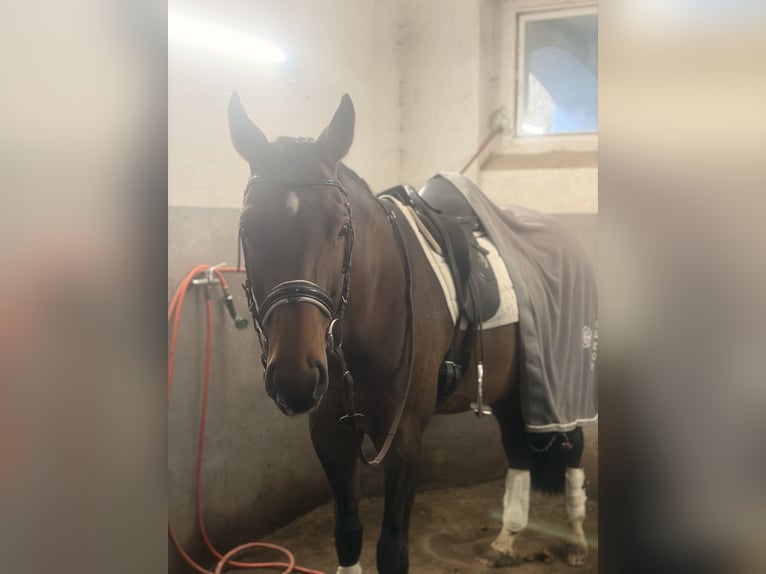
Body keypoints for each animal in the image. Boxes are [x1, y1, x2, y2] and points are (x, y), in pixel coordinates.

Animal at [228, 92, 592, 574]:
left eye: (341, 229)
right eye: (248, 229)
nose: (295, 379)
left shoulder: (403, 440)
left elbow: (393, 550)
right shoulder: (329, 435)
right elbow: (348, 535)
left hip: (563, 385)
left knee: (573, 450)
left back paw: (577, 539)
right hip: (513, 387)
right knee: (518, 453)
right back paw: (506, 540)